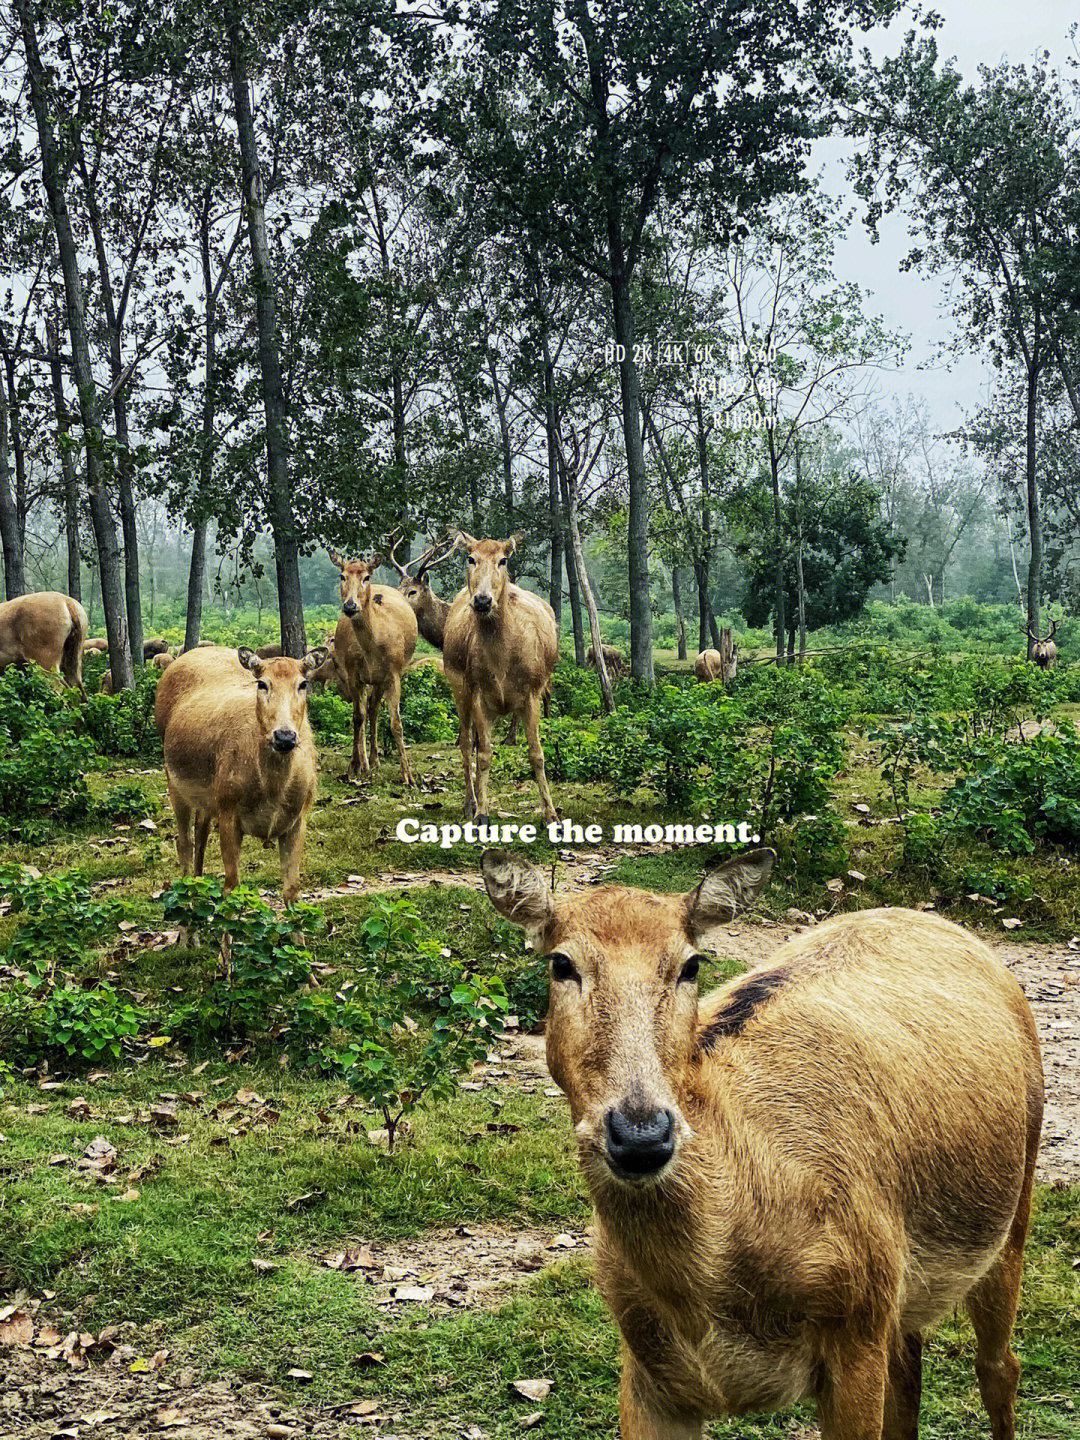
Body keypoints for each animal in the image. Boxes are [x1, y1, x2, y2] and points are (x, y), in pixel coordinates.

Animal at [154, 648, 325, 904]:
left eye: (303, 683)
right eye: (262, 683)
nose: (284, 736)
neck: (272, 791)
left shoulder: (299, 816)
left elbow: (292, 891)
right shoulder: (228, 808)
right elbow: (231, 886)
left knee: (201, 830)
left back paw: (199, 882)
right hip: (173, 777)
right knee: (184, 840)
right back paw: (187, 891)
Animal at [325, 547, 417, 783]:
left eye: (366, 577)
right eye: (342, 575)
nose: (350, 605)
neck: (372, 649)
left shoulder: (394, 672)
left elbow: (396, 723)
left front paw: (407, 775)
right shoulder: (352, 673)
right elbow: (357, 718)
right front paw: (353, 766)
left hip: (382, 679)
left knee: (374, 709)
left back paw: (375, 759)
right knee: (367, 710)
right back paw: (366, 762)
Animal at [440, 532, 558, 829]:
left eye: (503, 560)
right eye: (470, 558)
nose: (482, 600)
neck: (502, 663)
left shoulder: (532, 692)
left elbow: (537, 754)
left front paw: (551, 815)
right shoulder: (478, 692)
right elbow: (483, 754)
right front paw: (482, 813)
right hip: (457, 685)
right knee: (466, 742)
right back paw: (470, 802)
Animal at [480, 846, 1042, 1440]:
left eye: (691, 964)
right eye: (561, 963)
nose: (641, 1134)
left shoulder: (858, 1324)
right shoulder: (645, 1368)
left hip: (1013, 1205)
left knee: (1000, 1367)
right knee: (911, 1373)